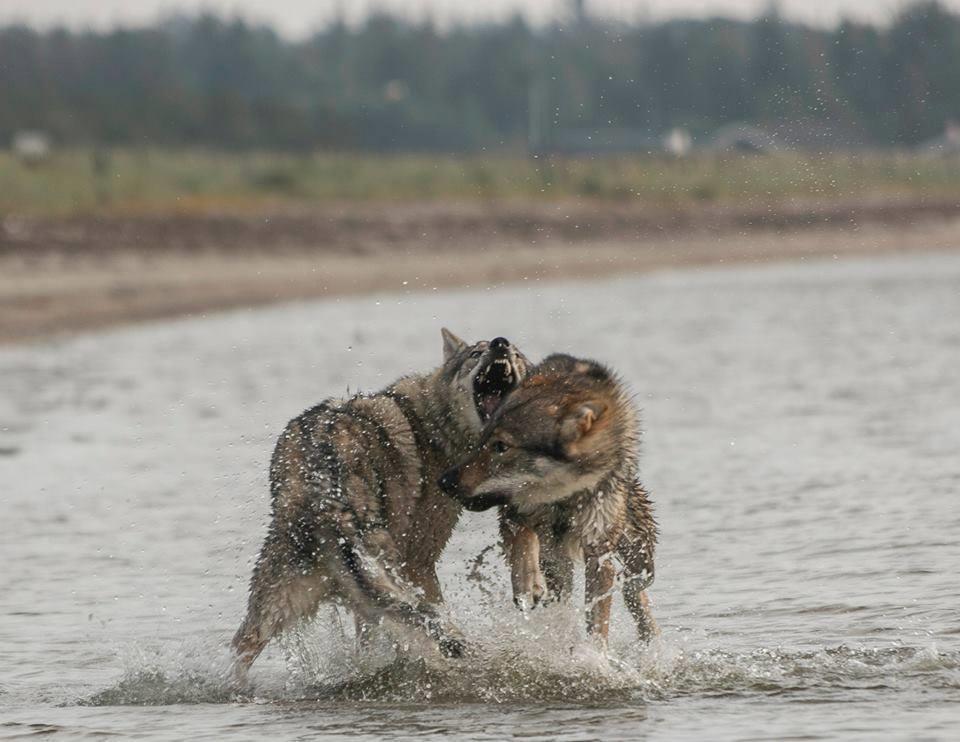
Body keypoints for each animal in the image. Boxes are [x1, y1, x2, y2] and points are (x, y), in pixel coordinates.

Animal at [232, 328, 532, 684]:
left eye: (518, 356)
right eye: (475, 354)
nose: (501, 344)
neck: (434, 426)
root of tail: (322, 486)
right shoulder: (419, 562)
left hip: (282, 604)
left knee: (242, 648)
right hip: (382, 569)